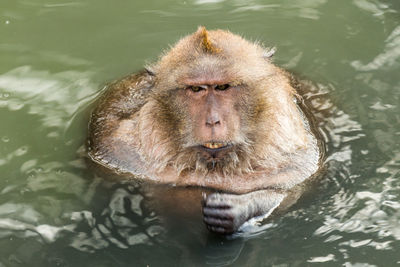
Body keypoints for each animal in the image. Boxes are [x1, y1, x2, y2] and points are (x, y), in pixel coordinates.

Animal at [87, 26, 322, 234]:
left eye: (222, 87)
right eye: (196, 89)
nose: (212, 120)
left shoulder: (287, 135)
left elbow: (293, 181)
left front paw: (241, 208)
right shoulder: (123, 150)